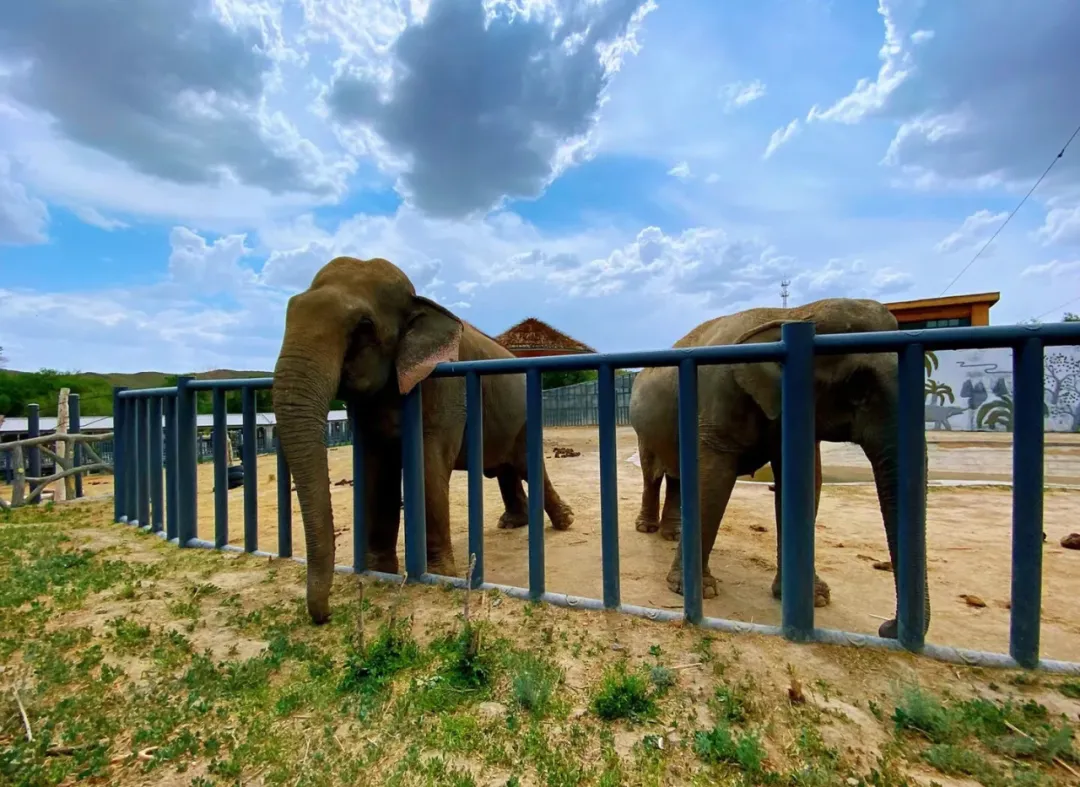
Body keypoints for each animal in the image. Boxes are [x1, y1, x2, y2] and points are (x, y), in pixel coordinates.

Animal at [272, 256, 575, 624]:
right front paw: (381, 571)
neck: (421, 302)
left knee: (526, 465)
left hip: (527, 416)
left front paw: (441, 576)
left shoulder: (445, 384)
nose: (325, 616)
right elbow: (378, 470)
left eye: (363, 326)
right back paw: (512, 523)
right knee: (506, 468)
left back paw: (565, 522)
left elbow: (430, 464)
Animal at [628, 297, 930, 640]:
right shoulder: (718, 405)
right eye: (857, 388)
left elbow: (805, 482)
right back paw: (647, 529)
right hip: (643, 429)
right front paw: (698, 591)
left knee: (677, 475)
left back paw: (673, 534)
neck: (791, 315)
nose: (886, 627)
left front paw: (815, 599)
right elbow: (714, 479)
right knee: (653, 475)